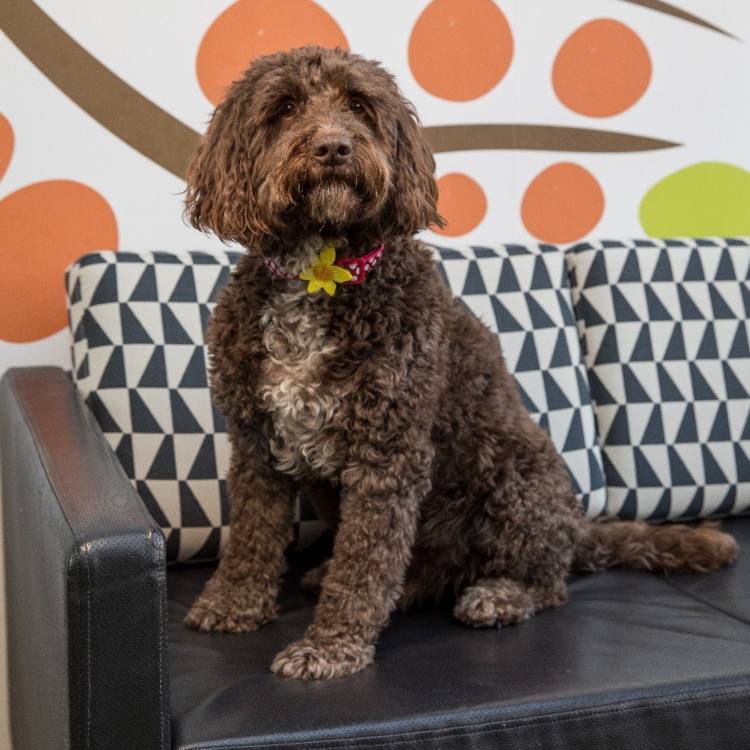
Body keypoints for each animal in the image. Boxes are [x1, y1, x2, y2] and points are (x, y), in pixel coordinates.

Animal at [184, 45, 740, 680]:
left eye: (359, 105)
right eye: (284, 108)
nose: (333, 147)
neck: (320, 273)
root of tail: (580, 528)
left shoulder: (388, 454)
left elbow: (364, 564)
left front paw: (331, 647)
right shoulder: (257, 443)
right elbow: (252, 536)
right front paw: (234, 604)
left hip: (513, 477)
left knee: (549, 580)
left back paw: (500, 594)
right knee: (420, 573)